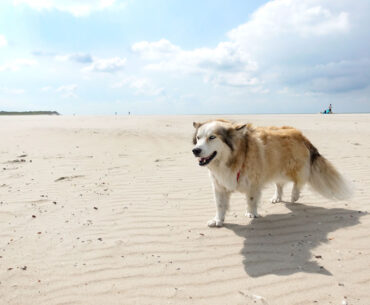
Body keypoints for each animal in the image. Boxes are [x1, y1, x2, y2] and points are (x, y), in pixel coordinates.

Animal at [192, 119, 352, 226]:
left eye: (212, 137)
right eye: (198, 138)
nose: (195, 150)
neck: (234, 157)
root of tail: (300, 134)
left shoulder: (253, 184)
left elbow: (251, 200)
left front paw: (251, 213)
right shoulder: (219, 186)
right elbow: (220, 205)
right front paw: (218, 220)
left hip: (293, 167)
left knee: (300, 181)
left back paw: (294, 195)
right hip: (275, 168)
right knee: (279, 185)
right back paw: (277, 197)